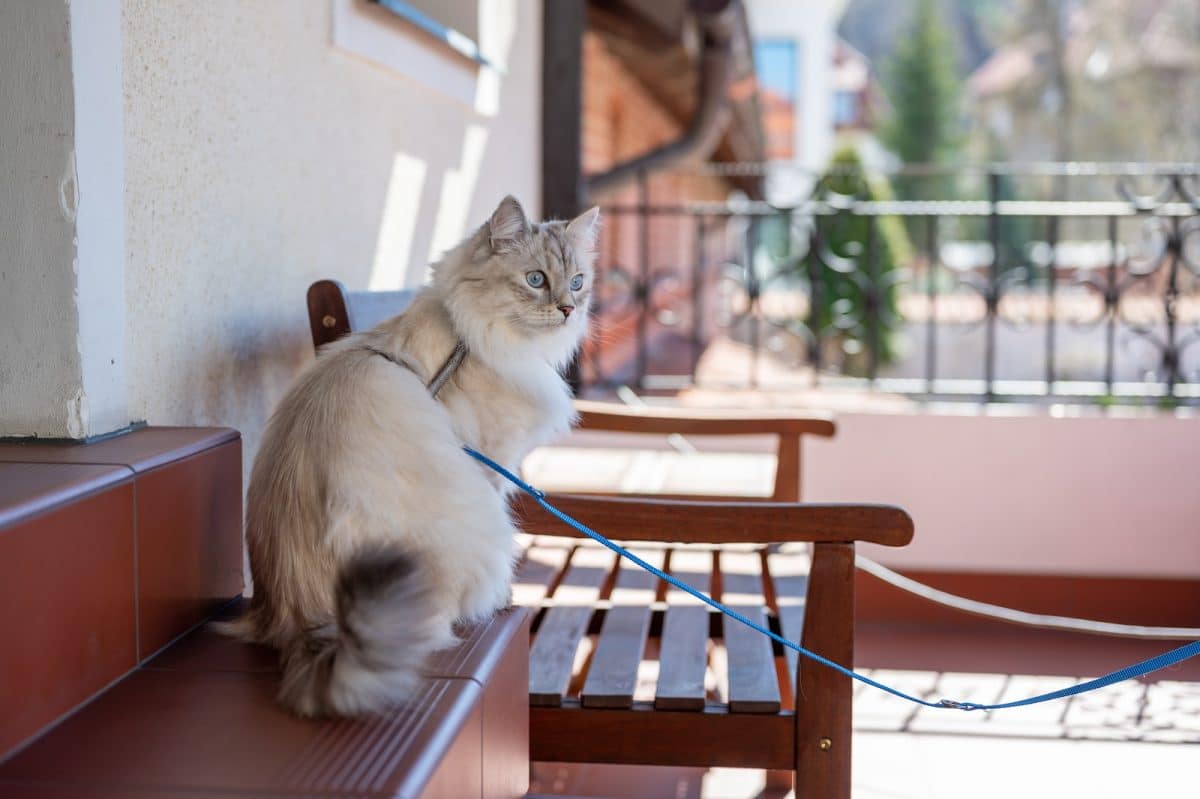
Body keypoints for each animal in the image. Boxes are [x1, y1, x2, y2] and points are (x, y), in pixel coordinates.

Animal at [217, 197, 600, 715]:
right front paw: (505, 599)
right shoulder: (492, 465)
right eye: (536, 279)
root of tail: (301, 624)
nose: (567, 309)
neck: (469, 338)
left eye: (577, 282)